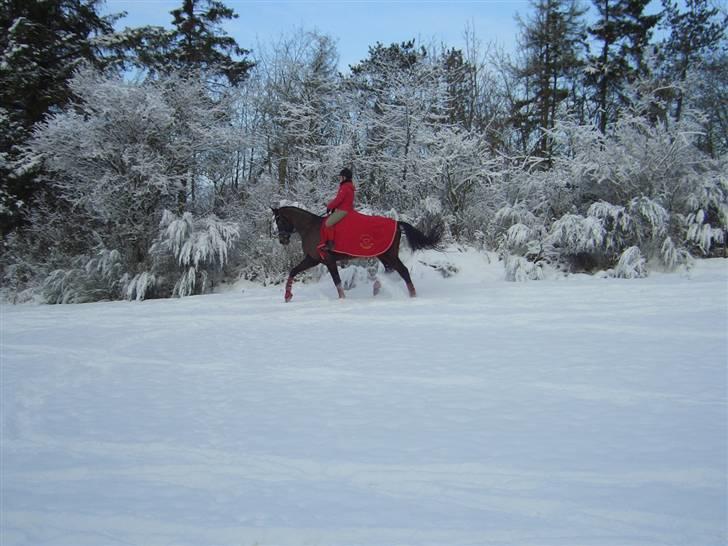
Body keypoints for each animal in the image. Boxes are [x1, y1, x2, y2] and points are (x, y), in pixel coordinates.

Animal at [272, 206, 444, 302]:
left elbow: (337, 281)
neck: (310, 227)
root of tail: (396, 222)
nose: (282, 239)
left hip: (389, 255)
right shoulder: (312, 259)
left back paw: (412, 296)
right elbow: (293, 271)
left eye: (279, 220)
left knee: (404, 271)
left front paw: (342, 300)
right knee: (392, 271)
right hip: (383, 255)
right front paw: (287, 296)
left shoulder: (328, 260)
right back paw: (378, 290)